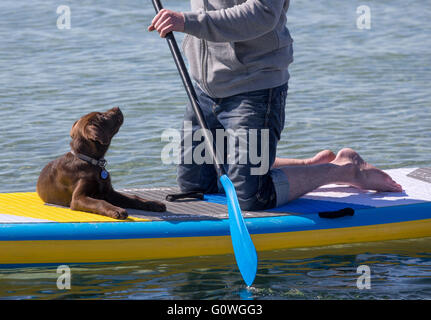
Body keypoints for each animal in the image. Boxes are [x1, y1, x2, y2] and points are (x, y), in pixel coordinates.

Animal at [35, 106, 165, 219]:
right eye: (102, 116)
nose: (117, 107)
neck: (91, 162)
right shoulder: (77, 199)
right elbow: (100, 202)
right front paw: (117, 210)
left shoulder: (109, 192)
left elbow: (133, 197)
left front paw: (153, 203)